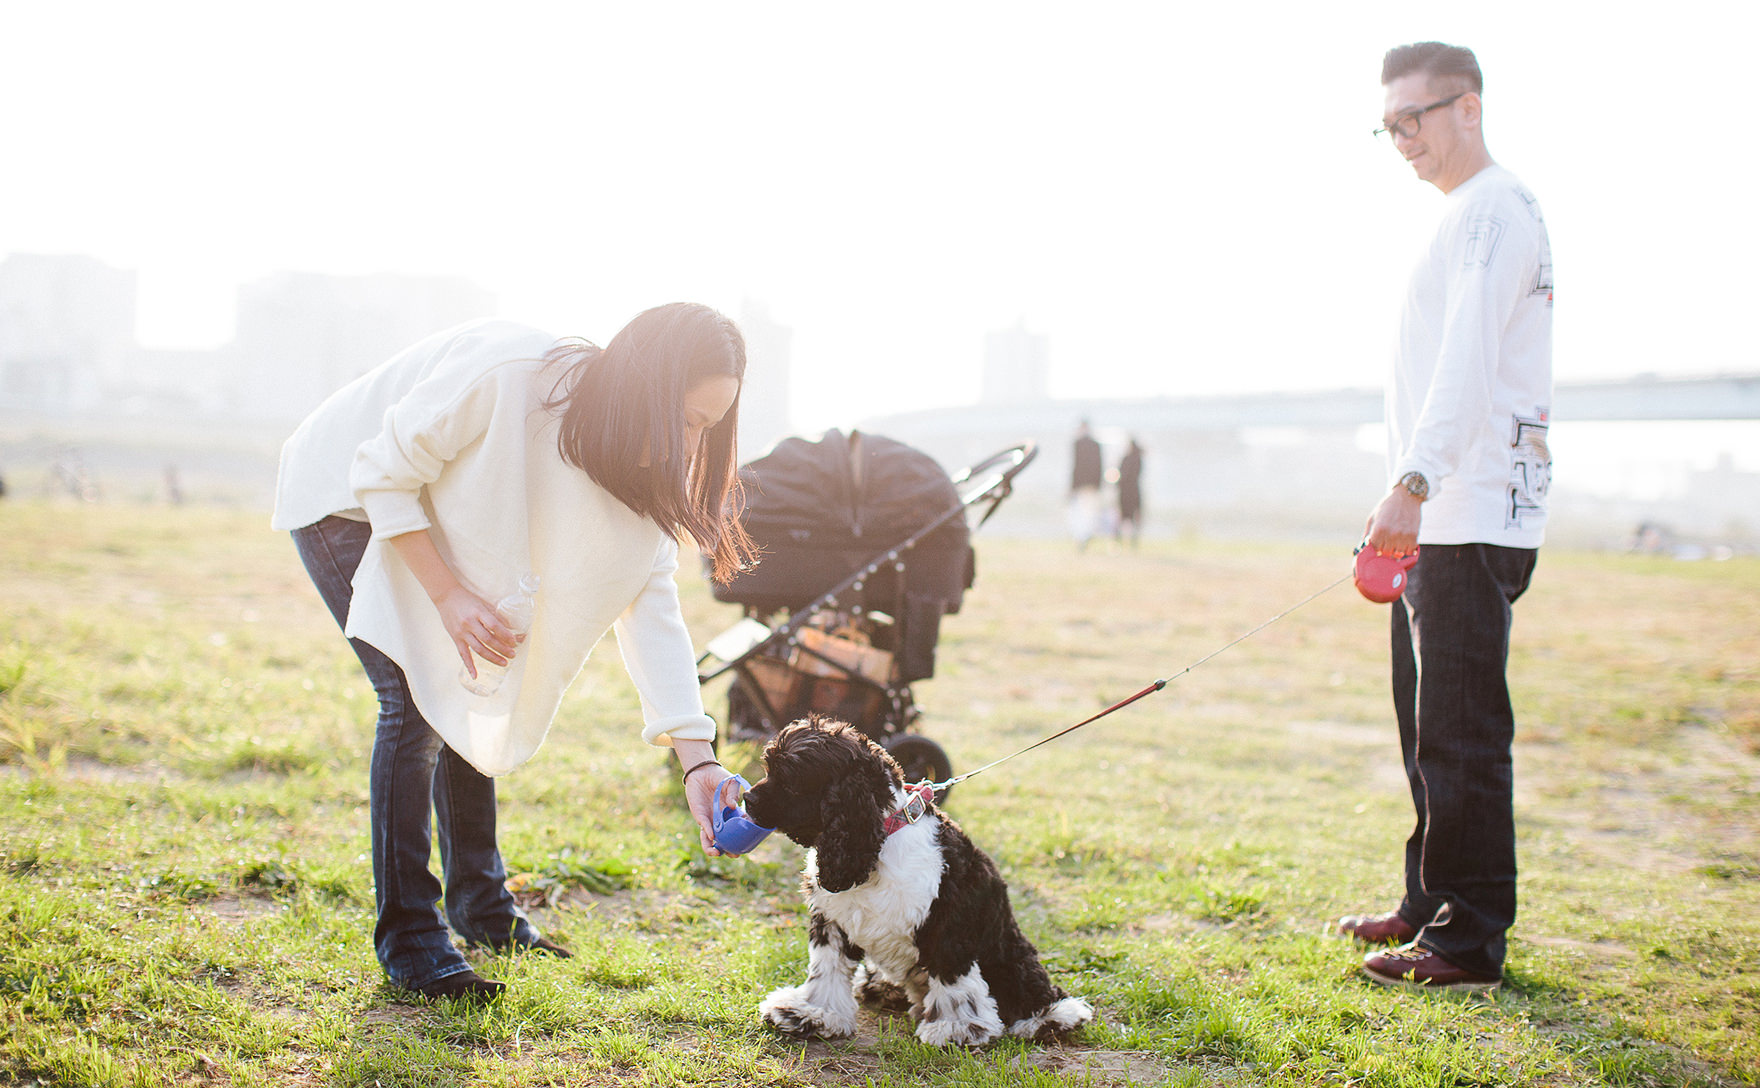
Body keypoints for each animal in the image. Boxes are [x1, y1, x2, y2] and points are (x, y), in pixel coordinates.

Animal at [739, 711, 1091, 1042]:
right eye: (768, 769)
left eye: (791, 780)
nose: (748, 799)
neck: (882, 836)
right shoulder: (833, 920)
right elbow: (826, 967)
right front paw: (812, 1013)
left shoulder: (946, 923)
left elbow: (953, 975)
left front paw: (957, 1027)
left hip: (1007, 950)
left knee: (1030, 984)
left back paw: (1049, 1017)